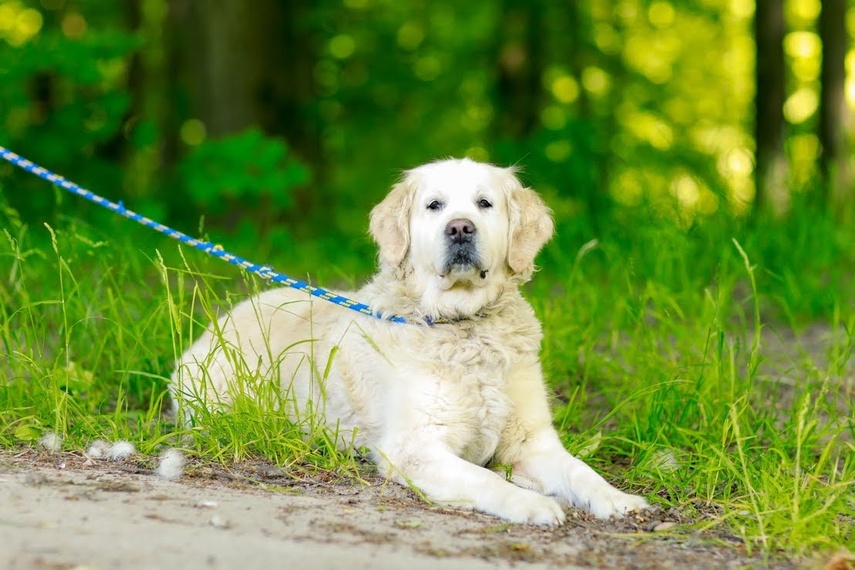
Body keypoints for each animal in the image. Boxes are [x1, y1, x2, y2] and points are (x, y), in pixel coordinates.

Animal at [176, 158, 656, 520]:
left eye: (485, 203)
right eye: (434, 205)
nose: (460, 228)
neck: (462, 324)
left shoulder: (531, 440)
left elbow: (581, 472)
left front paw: (619, 499)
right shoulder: (414, 447)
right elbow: (483, 476)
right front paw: (531, 503)